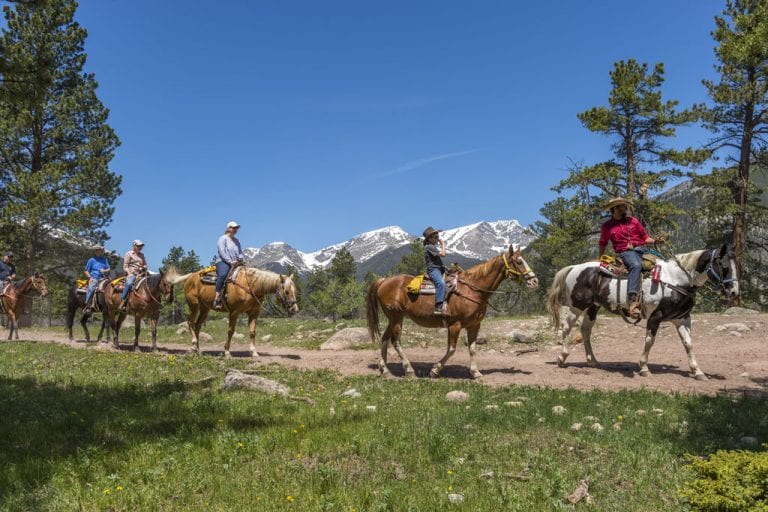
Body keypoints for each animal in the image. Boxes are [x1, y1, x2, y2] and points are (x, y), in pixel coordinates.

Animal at [168, 268, 300, 356]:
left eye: (295, 290)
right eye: (287, 291)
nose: (295, 309)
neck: (250, 286)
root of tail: (191, 276)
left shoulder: (253, 313)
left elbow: (252, 332)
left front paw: (254, 352)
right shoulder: (234, 312)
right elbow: (230, 331)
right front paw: (227, 352)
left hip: (205, 308)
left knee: (197, 326)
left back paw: (197, 349)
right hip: (194, 305)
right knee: (190, 322)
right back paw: (194, 343)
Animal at [368, 244, 540, 380]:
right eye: (519, 261)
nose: (534, 281)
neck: (473, 290)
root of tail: (384, 281)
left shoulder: (474, 325)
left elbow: (472, 349)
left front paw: (475, 372)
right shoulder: (454, 325)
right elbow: (451, 349)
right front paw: (435, 370)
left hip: (393, 318)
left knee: (385, 339)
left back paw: (384, 370)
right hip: (397, 318)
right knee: (395, 341)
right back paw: (409, 370)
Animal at [544, 244, 736, 380]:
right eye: (724, 266)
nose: (734, 292)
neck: (675, 280)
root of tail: (574, 267)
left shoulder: (682, 318)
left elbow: (688, 343)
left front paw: (697, 371)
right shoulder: (655, 317)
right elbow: (650, 341)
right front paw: (643, 368)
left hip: (593, 307)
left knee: (585, 330)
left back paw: (592, 361)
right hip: (576, 306)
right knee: (567, 327)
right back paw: (562, 357)